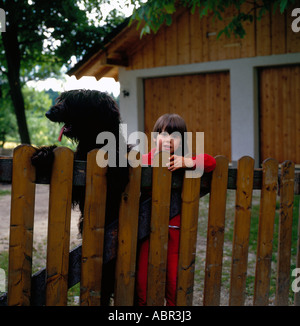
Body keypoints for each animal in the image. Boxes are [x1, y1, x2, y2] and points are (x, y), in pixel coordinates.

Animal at [31, 88, 130, 304]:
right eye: (62, 99)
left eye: (74, 101)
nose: (48, 112)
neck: (94, 140)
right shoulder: (77, 179)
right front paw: (45, 153)